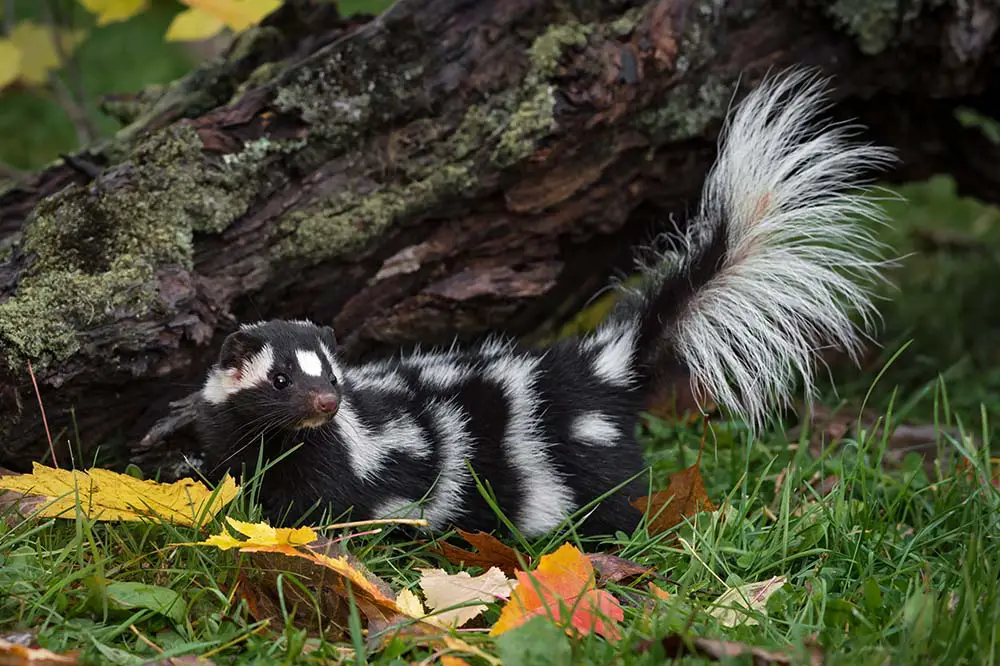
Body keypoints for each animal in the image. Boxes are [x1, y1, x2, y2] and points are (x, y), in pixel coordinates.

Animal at [191, 72, 896, 536]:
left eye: (331, 379)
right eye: (281, 381)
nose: (325, 404)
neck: (289, 440)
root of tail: (601, 364)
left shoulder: (348, 464)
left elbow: (329, 511)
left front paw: (305, 538)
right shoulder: (239, 441)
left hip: (582, 457)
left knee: (611, 501)